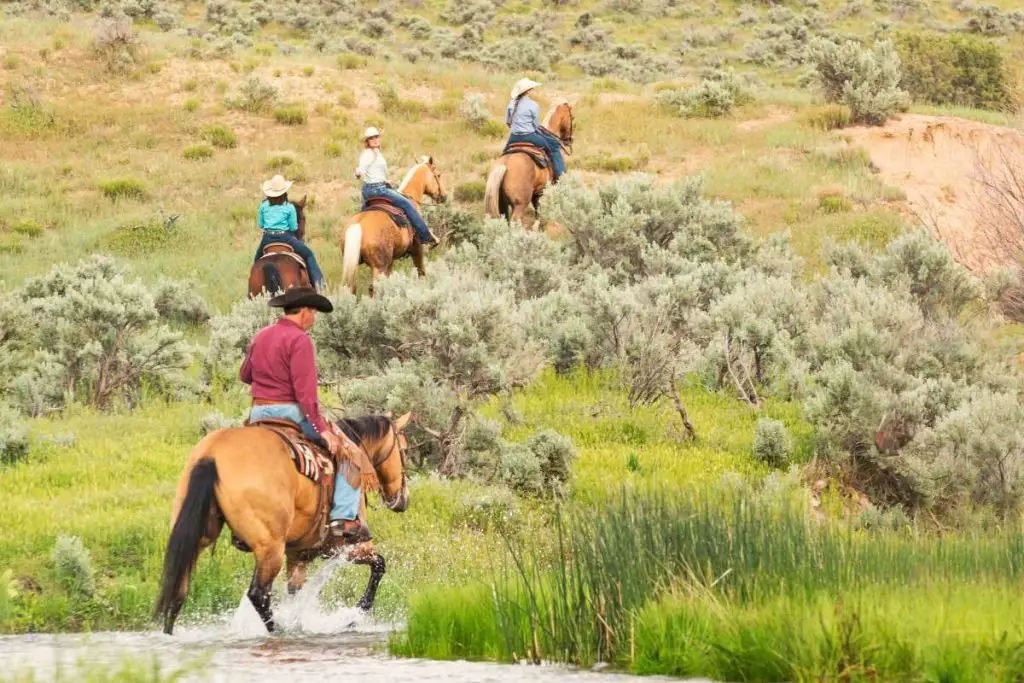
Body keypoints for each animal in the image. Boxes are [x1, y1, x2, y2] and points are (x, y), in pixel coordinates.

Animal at [153, 411, 409, 634]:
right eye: (404, 449)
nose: (403, 499)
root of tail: (212, 454)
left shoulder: (298, 555)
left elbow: (295, 594)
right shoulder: (343, 546)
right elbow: (379, 565)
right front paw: (354, 617)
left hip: (197, 537)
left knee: (178, 591)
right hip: (270, 549)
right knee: (258, 594)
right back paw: (277, 630)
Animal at [342, 157, 446, 296]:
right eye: (438, 175)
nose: (444, 196)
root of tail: (358, 225)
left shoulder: (390, 261)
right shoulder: (417, 249)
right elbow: (421, 272)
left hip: (352, 267)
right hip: (378, 268)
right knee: (374, 289)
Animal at [483, 100, 573, 229]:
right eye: (572, 117)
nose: (569, 140)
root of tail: (505, 164)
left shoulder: (537, 191)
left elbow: (537, 207)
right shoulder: (542, 190)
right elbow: (539, 207)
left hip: (502, 205)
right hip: (519, 205)